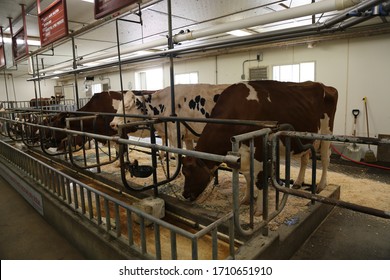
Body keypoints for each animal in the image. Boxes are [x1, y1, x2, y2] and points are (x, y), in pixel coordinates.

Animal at [181, 80, 336, 215]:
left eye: (188, 172)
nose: (184, 194)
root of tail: (324, 85)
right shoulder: (243, 153)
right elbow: (248, 177)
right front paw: (246, 199)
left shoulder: (260, 151)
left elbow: (259, 180)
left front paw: (259, 211)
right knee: (305, 158)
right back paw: (298, 183)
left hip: (326, 133)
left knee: (326, 158)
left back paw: (321, 185)